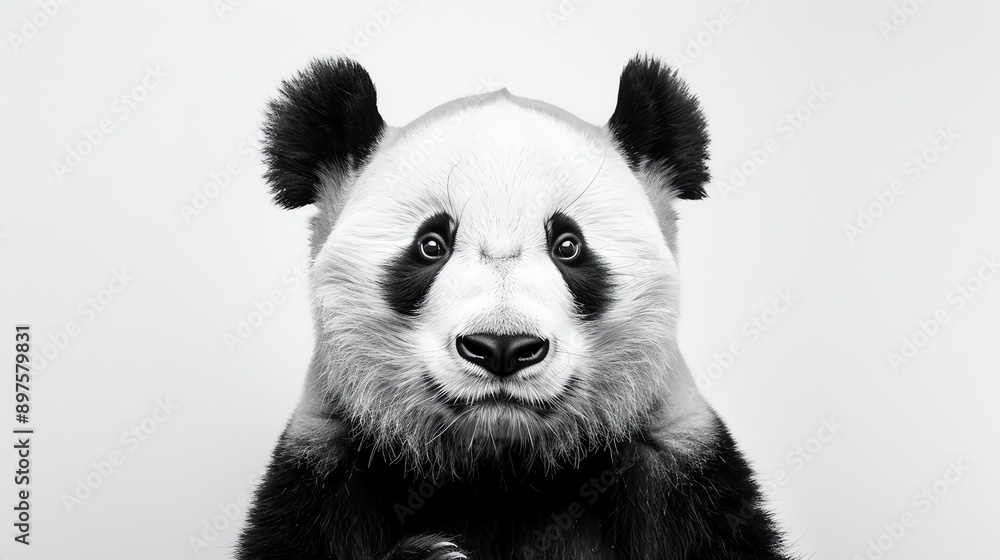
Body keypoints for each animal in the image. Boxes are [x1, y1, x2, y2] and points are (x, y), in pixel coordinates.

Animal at [237, 56, 793, 560]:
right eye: (431, 245)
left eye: (568, 246)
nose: (501, 348)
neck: (500, 464)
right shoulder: (326, 464)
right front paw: (434, 553)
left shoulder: (680, 468)